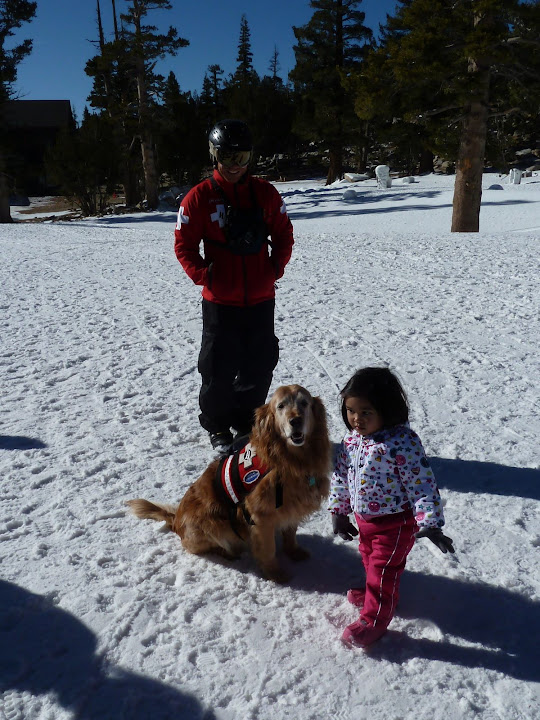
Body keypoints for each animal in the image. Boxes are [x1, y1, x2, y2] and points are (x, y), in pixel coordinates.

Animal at [127, 386, 330, 584]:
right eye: (280, 406)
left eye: (304, 403)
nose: (295, 420)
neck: (290, 460)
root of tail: (175, 519)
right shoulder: (260, 517)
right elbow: (268, 550)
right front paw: (275, 574)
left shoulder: (293, 504)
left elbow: (290, 533)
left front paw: (293, 551)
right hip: (212, 522)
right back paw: (226, 552)